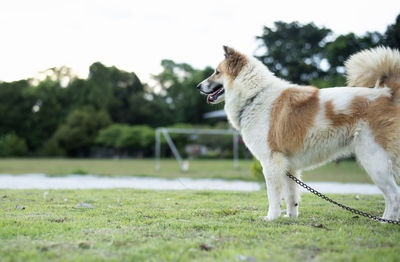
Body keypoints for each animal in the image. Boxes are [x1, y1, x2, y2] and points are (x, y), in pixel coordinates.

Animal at [198, 46, 400, 221]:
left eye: (216, 72)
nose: (198, 86)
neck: (255, 95)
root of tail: (387, 93)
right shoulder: (288, 167)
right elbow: (291, 197)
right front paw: (290, 217)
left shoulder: (271, 163)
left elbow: (273, 196)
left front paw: (271, 218)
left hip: (375, 161)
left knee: (394, 195)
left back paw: (384, 222)